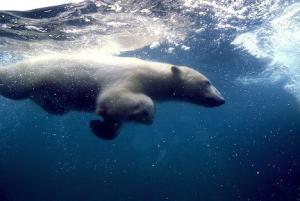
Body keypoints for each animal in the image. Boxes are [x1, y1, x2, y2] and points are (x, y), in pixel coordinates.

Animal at [0, 55, 224, 140]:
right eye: (207, 82)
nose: (221, 100)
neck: (152, 74)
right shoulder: (128, 77)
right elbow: (113, 98)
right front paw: (145, 114)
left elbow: (115, 117)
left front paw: (98, 126)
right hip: (31, 75)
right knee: (14, 86)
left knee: (51, 104)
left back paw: (52, 105)